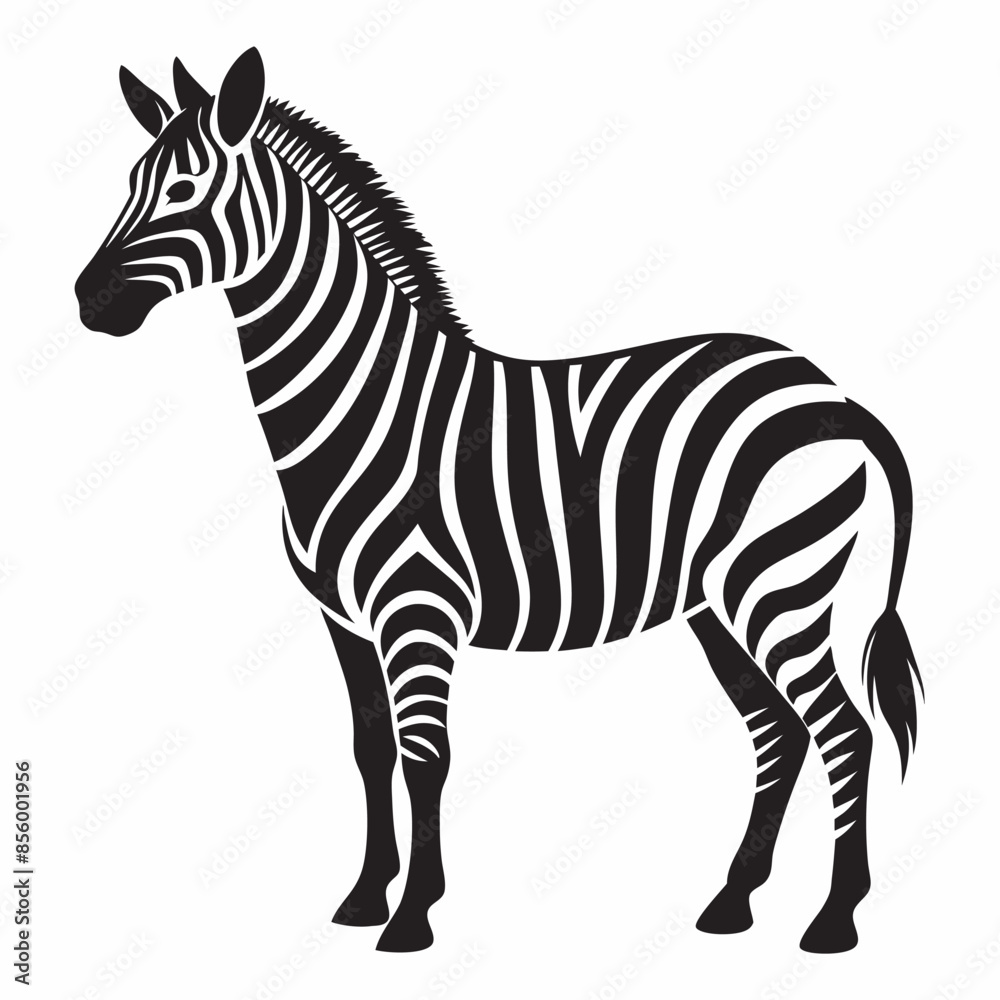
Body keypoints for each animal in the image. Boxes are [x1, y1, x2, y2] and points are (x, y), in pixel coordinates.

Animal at [76, 48, 924, 954]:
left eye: (185, 188)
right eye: (130, 181)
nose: (88, 301)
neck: (364, 405)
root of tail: (831, 390)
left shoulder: (418, 607)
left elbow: (427, 756)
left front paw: (413, 914)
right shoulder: (344, 619)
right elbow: (371, 749)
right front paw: (365, 896)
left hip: (779, 583)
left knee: (843, 729)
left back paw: (833, 918)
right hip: (718, 602)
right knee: (780, 732)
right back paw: (732, 902)